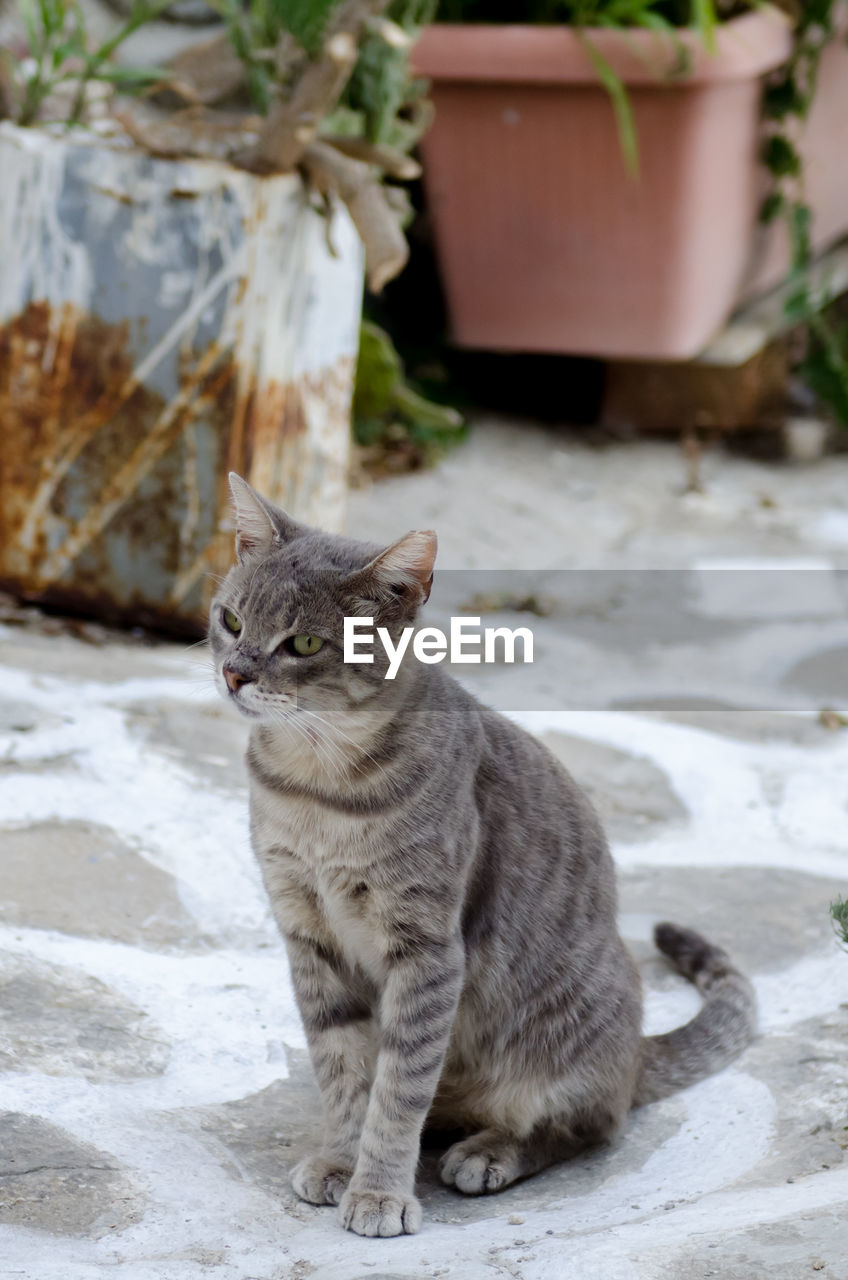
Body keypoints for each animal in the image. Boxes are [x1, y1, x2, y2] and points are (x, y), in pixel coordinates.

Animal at [211, 476, 758, 1233]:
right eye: (232, 621)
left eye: (305, 642)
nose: (234, 674)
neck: (318, 790)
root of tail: (634, 1052)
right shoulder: (306, 935)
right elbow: (345, 1071)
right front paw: (342, 1160)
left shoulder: (428, 949)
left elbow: (398, 1089)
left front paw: (378, 1191)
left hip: (564, 1039)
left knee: (590, 1126)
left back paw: (491, 1150)